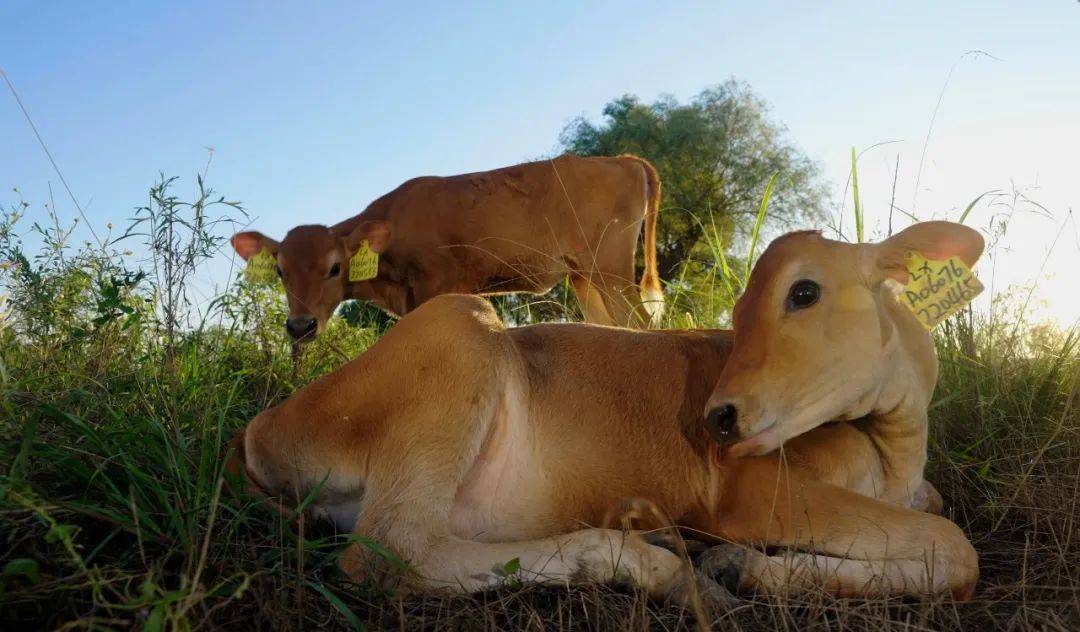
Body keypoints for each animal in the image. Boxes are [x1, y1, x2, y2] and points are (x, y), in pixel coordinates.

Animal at [232, 152, 660, 339]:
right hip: (585, 277)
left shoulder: (433, 286)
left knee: (641, 322)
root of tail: (622, 159)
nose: (299, 326)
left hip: (612, 270)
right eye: (280, 270)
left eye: (334, 267)